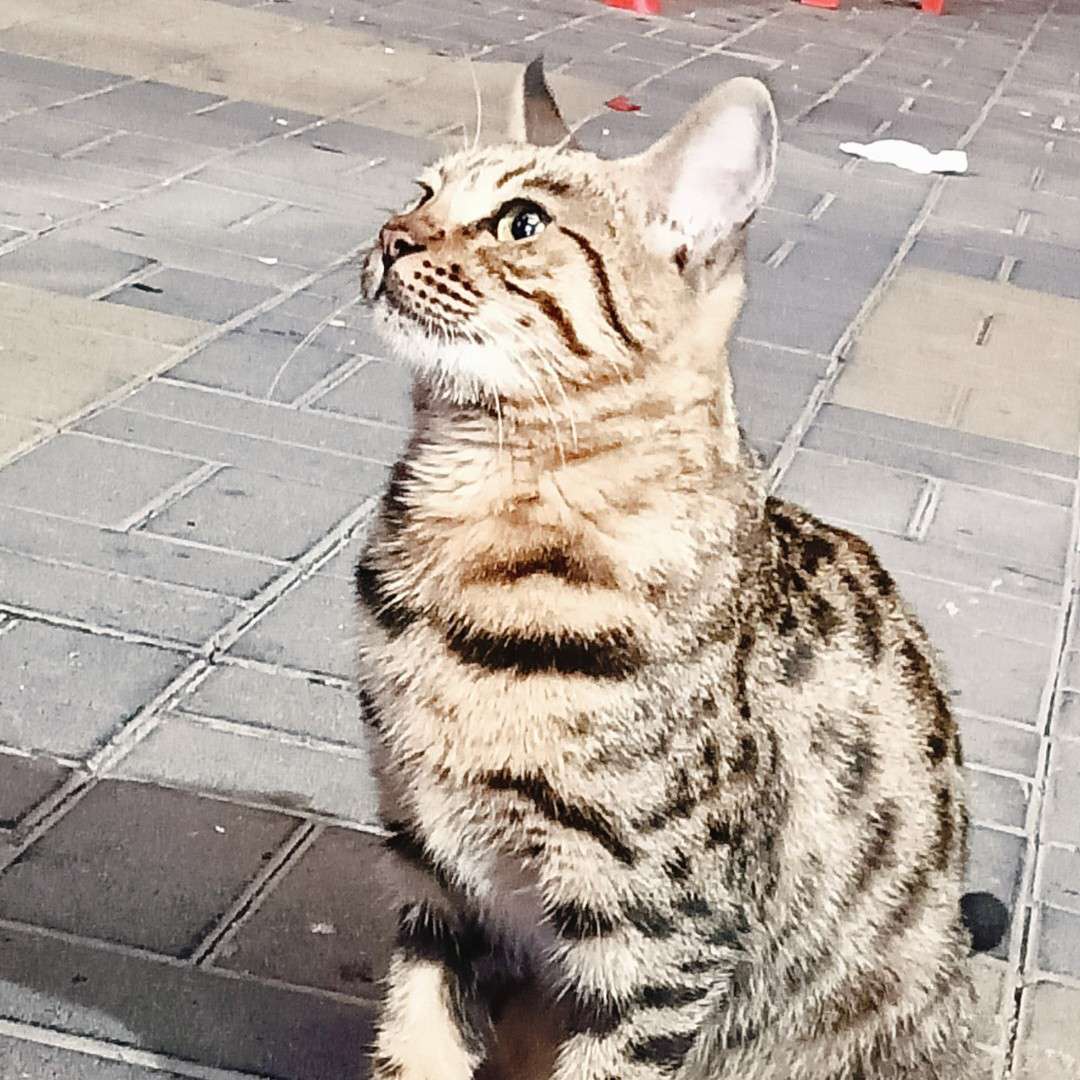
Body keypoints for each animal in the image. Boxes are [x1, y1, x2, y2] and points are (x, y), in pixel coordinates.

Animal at [354, 58, 997, 1080]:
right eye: (422, 192)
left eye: (522, 223)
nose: (391, 235)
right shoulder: (435, 875)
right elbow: (415, 1043)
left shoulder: (663, 938)